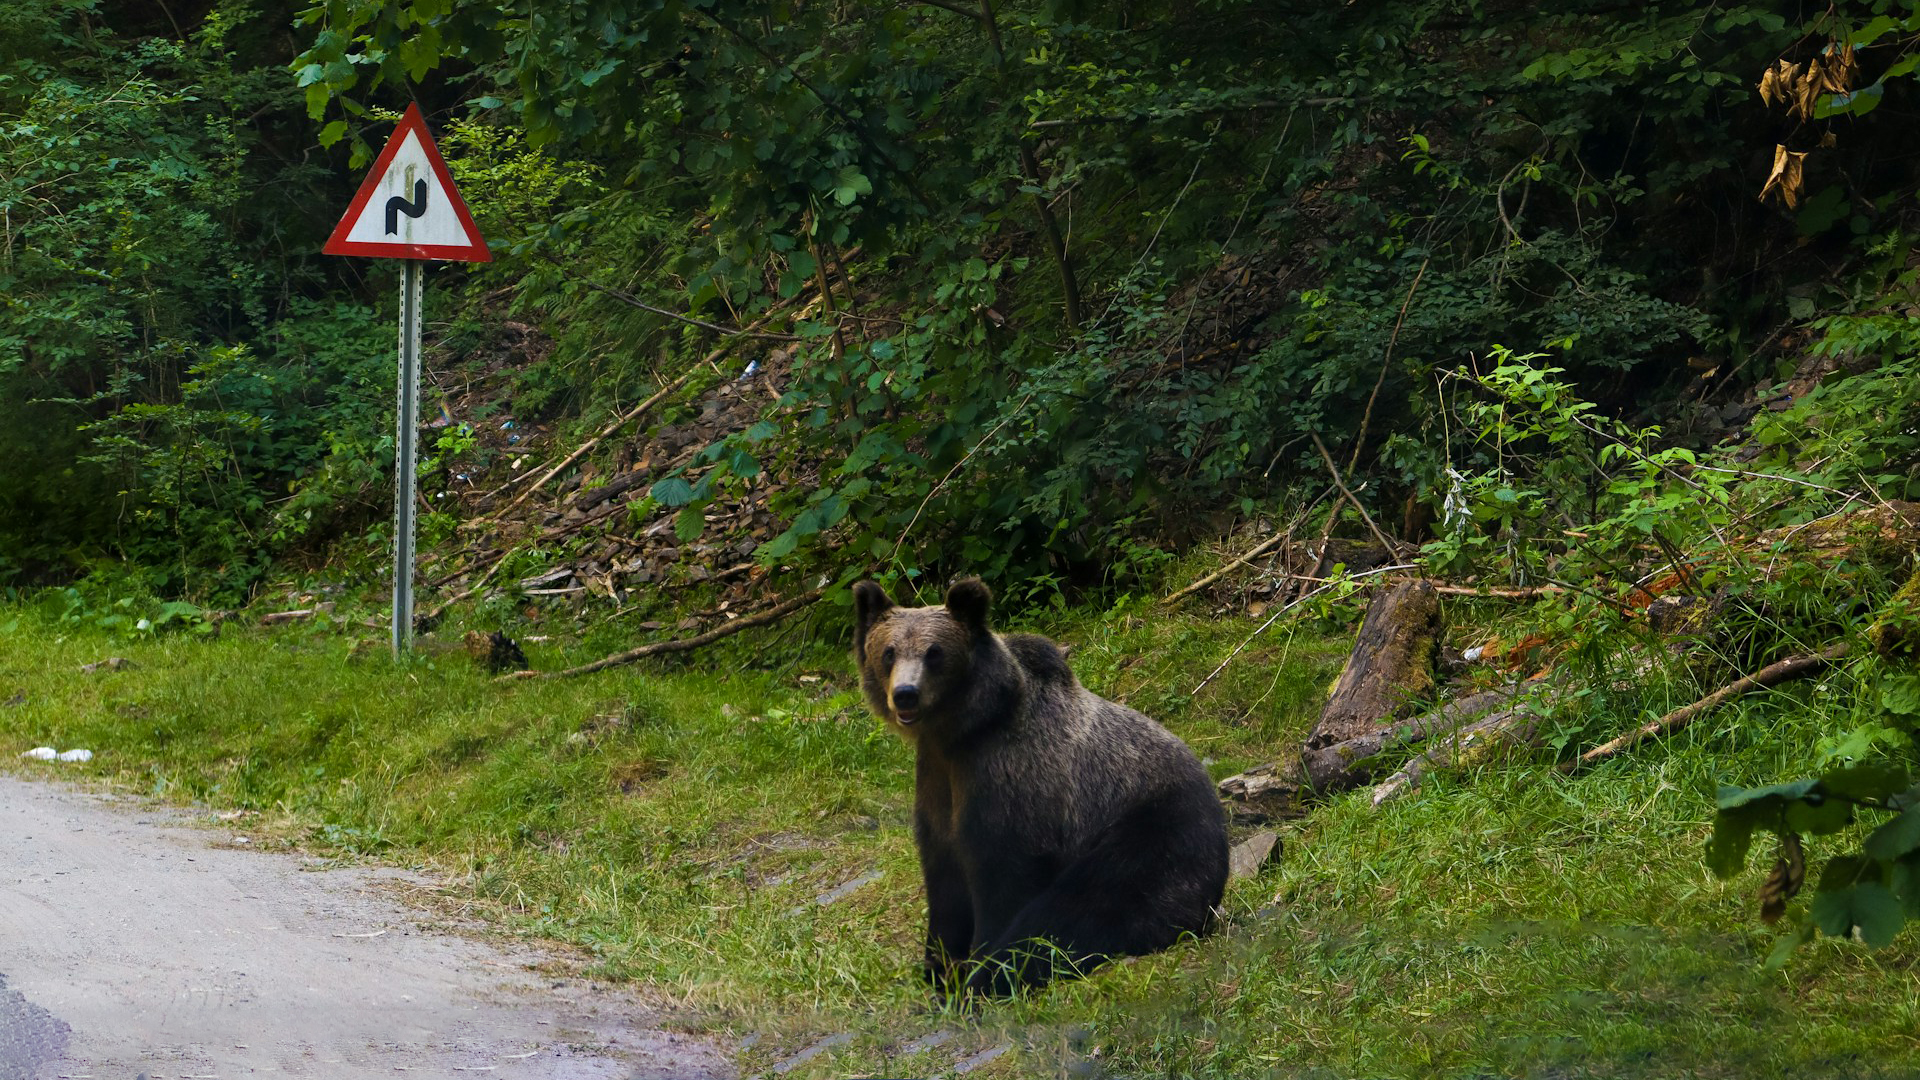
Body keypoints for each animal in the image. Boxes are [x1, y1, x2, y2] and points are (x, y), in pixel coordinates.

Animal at [852, 576, 1229, 999]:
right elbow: (945, 882)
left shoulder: (1011, 781)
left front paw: (978, 971)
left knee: (1082, 908)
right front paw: (941, 968)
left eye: (934, 652)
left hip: (1150, 833)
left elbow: (1003, 880)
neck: (960, 732)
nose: (906, 693)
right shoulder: (937, 782)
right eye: (889, 651)